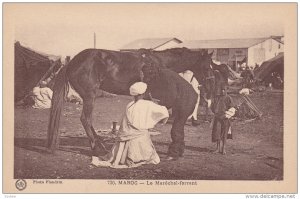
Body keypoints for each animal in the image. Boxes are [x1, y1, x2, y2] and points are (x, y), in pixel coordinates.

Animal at [47, 47, 211, 159]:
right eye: (207, 66)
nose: (208, 86)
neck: (157, 65)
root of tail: (71, 62)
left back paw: (101, 145)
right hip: (89, 96)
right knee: (85, 119)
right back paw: (98, 149)